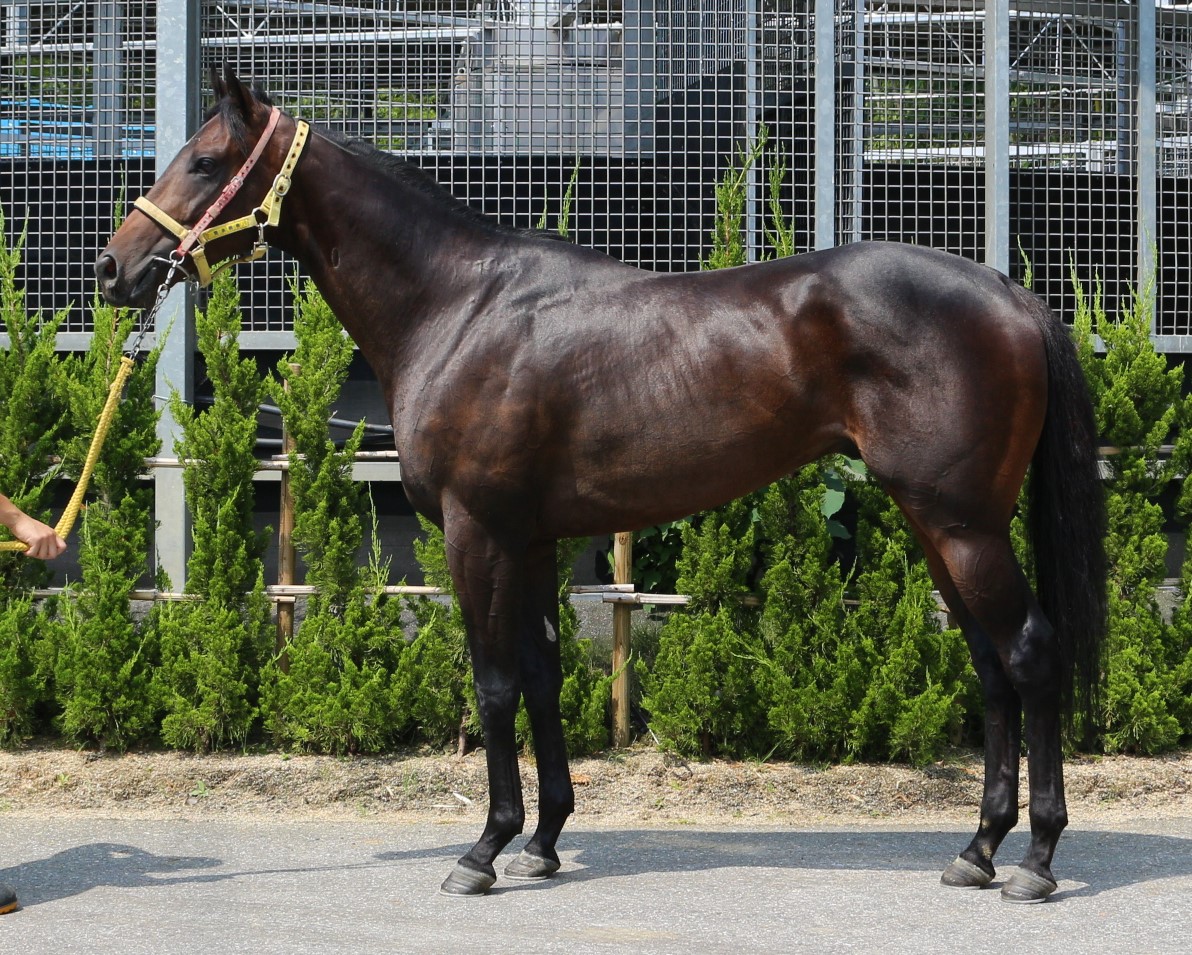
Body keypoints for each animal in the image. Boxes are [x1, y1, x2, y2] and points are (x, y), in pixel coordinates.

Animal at [96, 67, 1106, 903]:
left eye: (206, 161)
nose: (114, 267)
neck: (457, 303)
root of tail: (1011, 294)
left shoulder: (477, 531)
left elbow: (495, 682)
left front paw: (482, 850)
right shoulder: (536, 538)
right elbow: (544, 677)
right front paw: (542, 841)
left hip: (963, 525)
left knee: (1028, 653)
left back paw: (1035, 860)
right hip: (940, 526)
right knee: (989, 665)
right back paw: (976, 850)